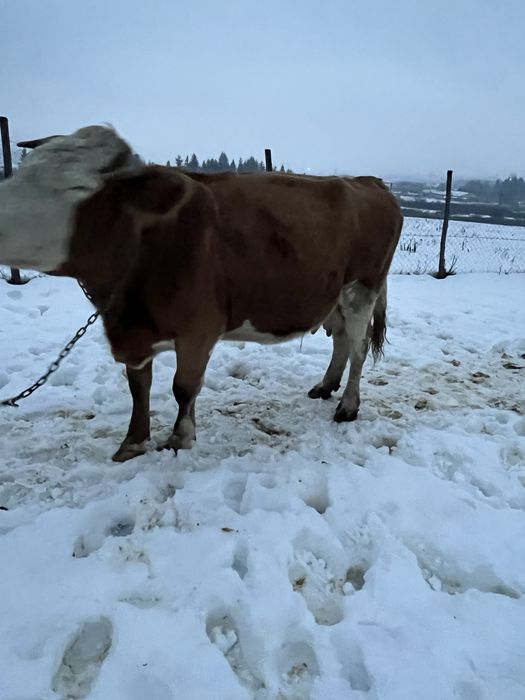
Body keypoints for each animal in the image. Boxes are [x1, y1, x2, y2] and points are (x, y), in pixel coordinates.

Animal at [0, 126, 403, 461]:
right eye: (22, 169)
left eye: (76, 188)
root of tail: (371, 183)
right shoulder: (135, 328)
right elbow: (138, 387)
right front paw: (133, 441)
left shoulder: (199, 327)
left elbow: (184, 387)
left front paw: (179, 438)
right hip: (336, 295)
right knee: (341, 341)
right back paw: (325, 386)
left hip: (361, 289)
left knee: (358, 348)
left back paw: (348, 406)